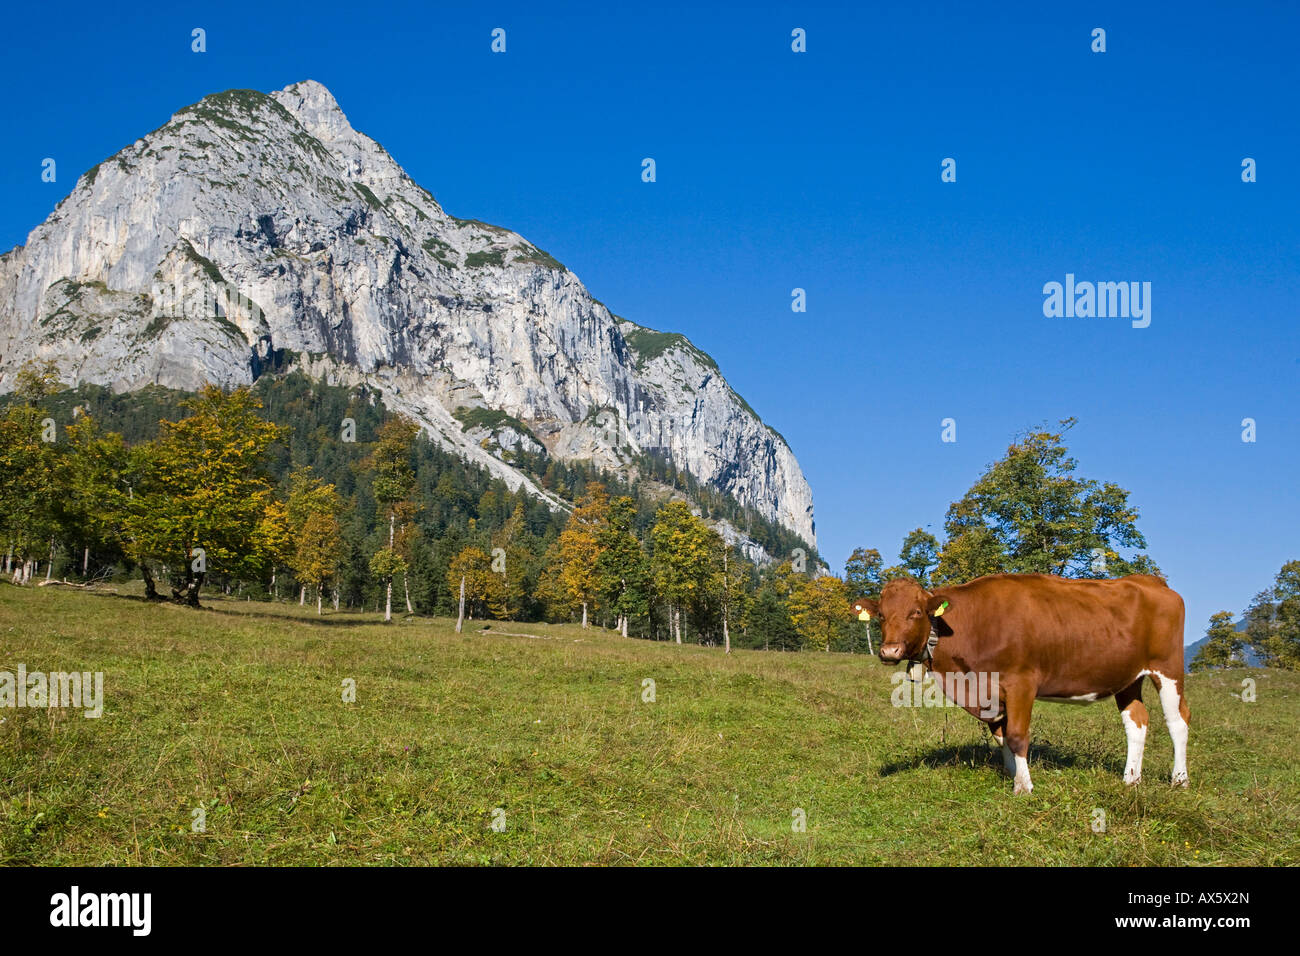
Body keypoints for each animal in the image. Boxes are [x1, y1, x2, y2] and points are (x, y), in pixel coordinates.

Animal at [852, 572, 1190, 796]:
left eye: (916, 612)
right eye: (881, 615)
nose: (889, 651)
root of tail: (1151, 580)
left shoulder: (1021, 683)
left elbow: (1016, 736)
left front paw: (1023, 787)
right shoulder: (989, 692)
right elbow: (1001, 735)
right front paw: (1011, 773)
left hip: (1168, 668)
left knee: (1178, 721)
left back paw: (1179, 780)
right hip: (1128, 677)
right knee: (1137, 722)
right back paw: (1131, 780)